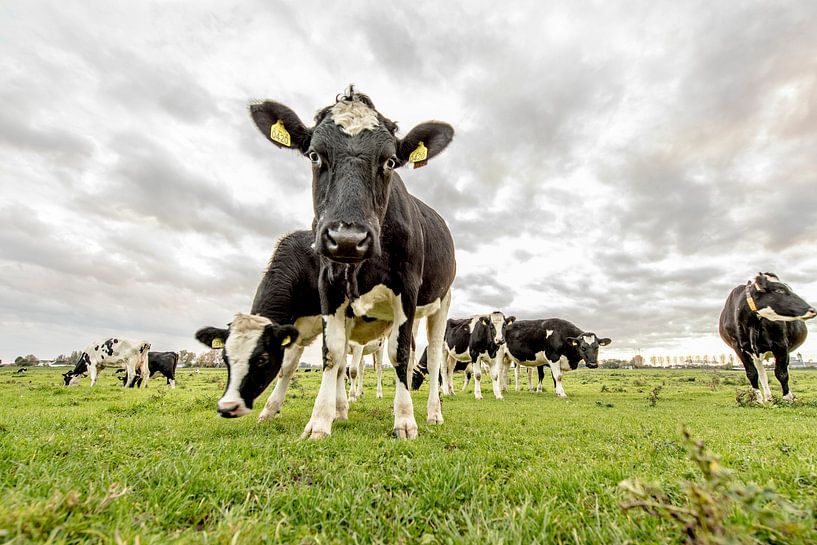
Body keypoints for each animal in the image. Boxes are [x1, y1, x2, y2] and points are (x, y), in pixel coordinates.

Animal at [248, 86, 456, 439]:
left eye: (389, 162)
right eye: (314, 155)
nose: (347, 238)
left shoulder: (407, 289)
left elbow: (399, 353)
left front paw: (405, 421)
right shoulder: (329, 287)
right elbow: (333, 354)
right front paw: (320, 422)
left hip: (441, 302)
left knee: (432, 355)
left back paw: (434, 413)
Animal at [719, 272, 816, 403]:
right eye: (779, 290)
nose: (812, 310)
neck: (752, 323)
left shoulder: (780, 344)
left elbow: (781, 373)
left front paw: (787, 398)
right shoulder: (738, 347)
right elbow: (752, 373)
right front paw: (758, 400)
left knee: (783, 367)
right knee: (762, 372)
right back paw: (768, 397)